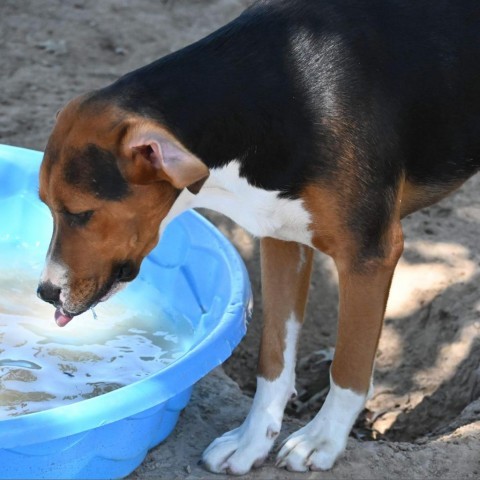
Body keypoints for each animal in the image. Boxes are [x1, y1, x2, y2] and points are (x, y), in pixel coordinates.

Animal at [37, 0, 480, 472]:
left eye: (82, 213)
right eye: (46, 206)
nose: (45, 292)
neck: (290, 94)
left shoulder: (369, 255)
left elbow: (349, 366)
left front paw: (322, 439)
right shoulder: (281, 237)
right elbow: (274, 358)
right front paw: (252, 441)